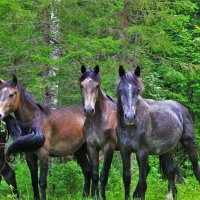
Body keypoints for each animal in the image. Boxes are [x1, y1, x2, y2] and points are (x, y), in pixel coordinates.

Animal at [79, 65, 118, 199]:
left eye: (97, 86)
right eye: (81, 85)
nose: (89, 110)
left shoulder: (109, 148)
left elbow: (104, 175)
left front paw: (102, 197)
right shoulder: (92, 147)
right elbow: (95, 174)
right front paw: (93, 196)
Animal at [116, 66, 199, 200]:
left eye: (137, 90)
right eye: (120, 90)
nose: (129, 117)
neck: (130, 128)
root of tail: (181, 108)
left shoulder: (142, 153)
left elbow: (142, 182)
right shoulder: (125, 151)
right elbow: (127, 178)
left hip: (189, 142)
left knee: (195, 167)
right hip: (167, 149)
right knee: (171, 170)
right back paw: (170, 196)